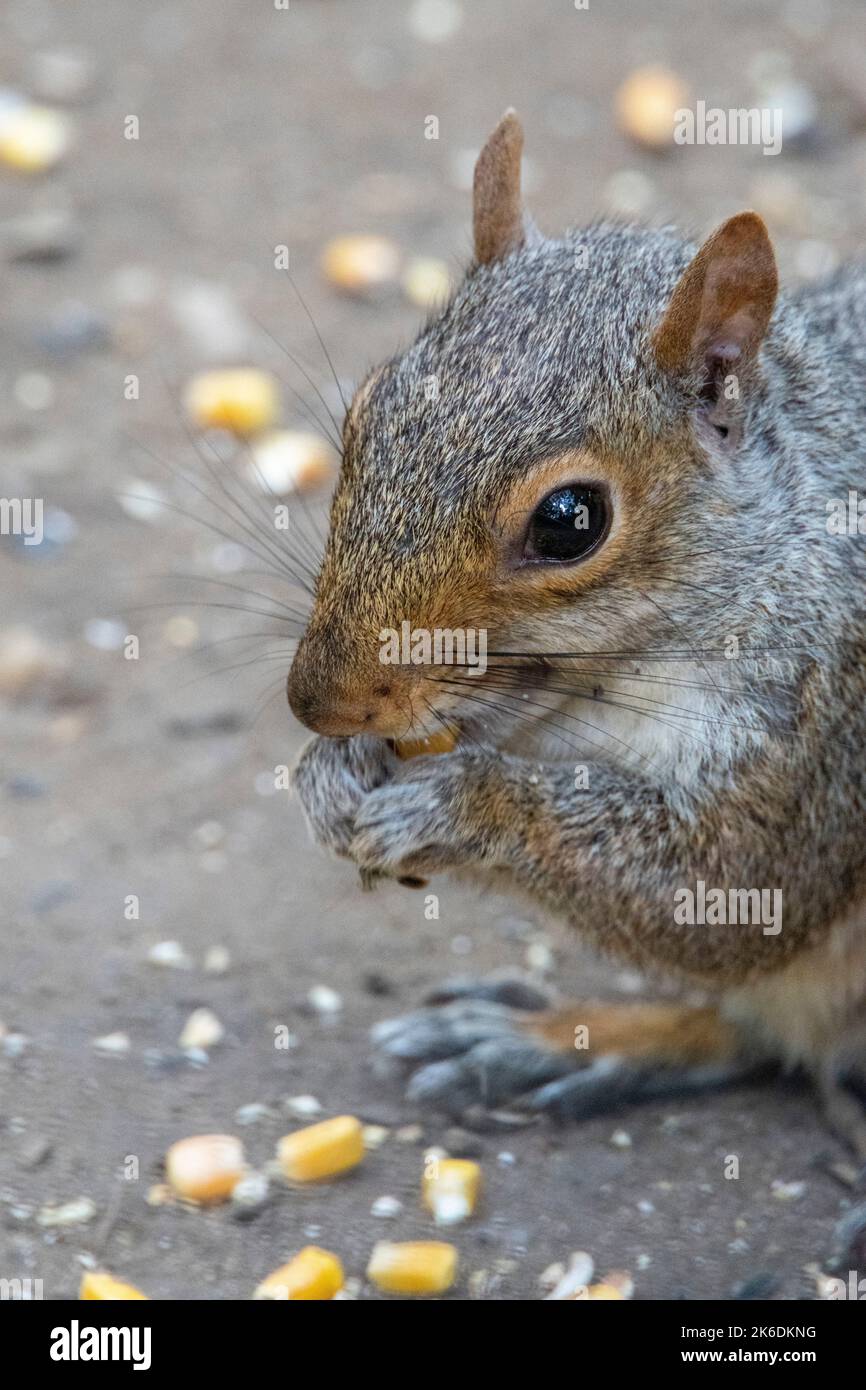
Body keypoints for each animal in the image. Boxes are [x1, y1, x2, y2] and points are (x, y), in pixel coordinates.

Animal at [287, 108, 866, 1150]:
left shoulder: (820, 716)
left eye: (570, 521)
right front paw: (331, 775)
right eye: (363, 413)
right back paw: (555, 1040)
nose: (321, 704)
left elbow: (734, 891)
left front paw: (460, 806)